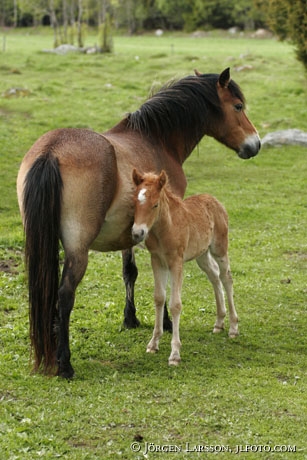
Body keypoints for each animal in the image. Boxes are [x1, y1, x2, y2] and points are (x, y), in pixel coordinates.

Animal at [16, 68, 262, 378]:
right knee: (65, 294)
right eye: (238, 106)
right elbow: (164, 285)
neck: (155, 139)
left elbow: (129, 272)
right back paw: (64, 363)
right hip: (77, 249)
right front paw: (166, 324)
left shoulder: (132, 233)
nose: (255, 144)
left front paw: (130, 319)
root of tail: (51, 151)